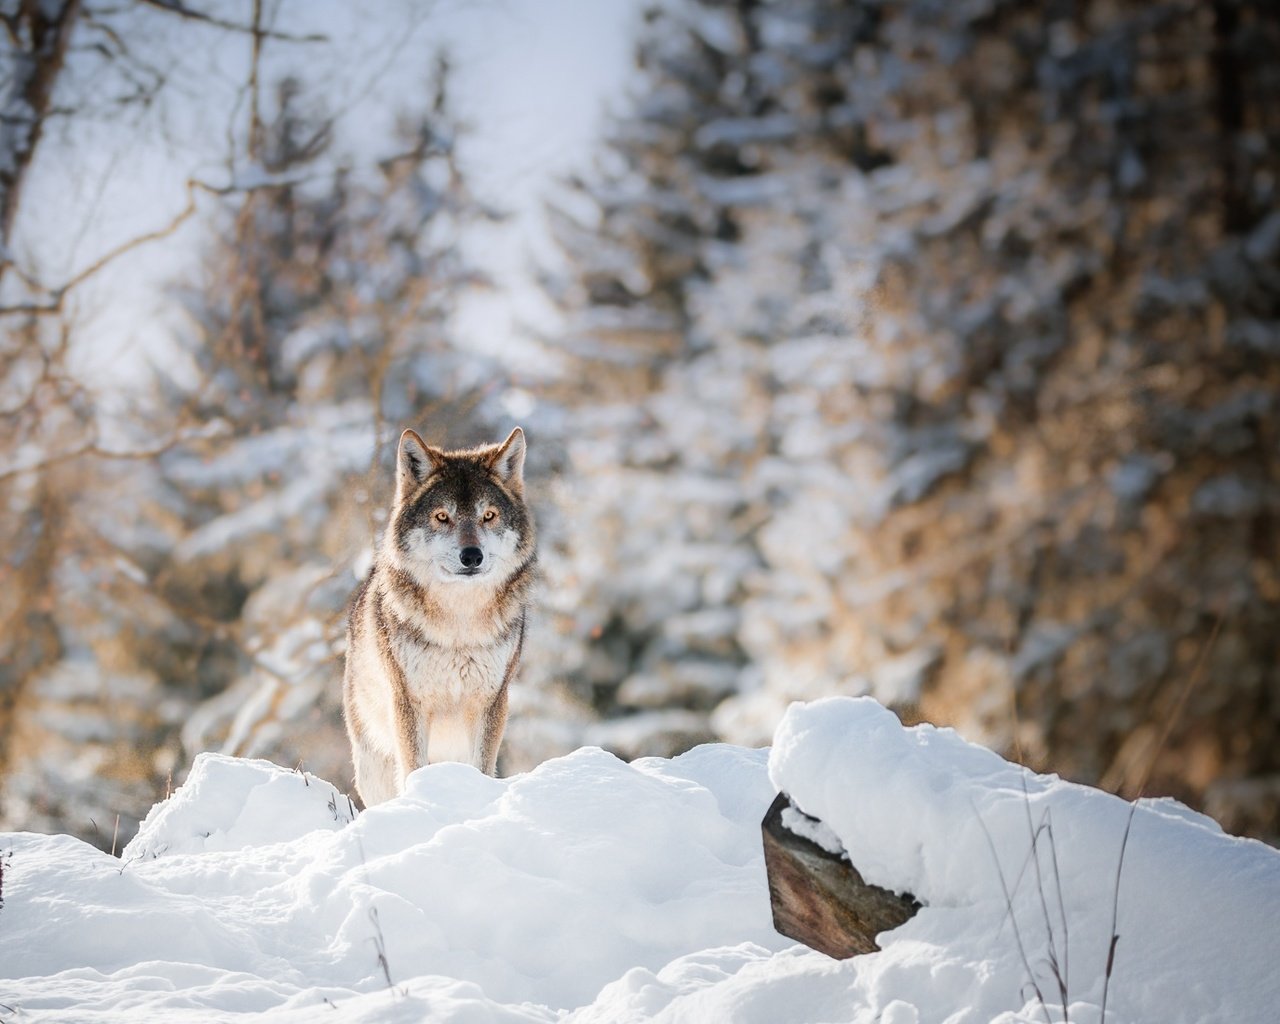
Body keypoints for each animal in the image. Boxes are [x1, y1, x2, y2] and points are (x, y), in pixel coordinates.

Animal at [340, 424, 535, 808]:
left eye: (488, 515)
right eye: (442, 516)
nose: (471, 556)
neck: (459, 625)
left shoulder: (491, 702)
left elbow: (482, 767)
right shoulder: (408, 702)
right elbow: (413, 768)